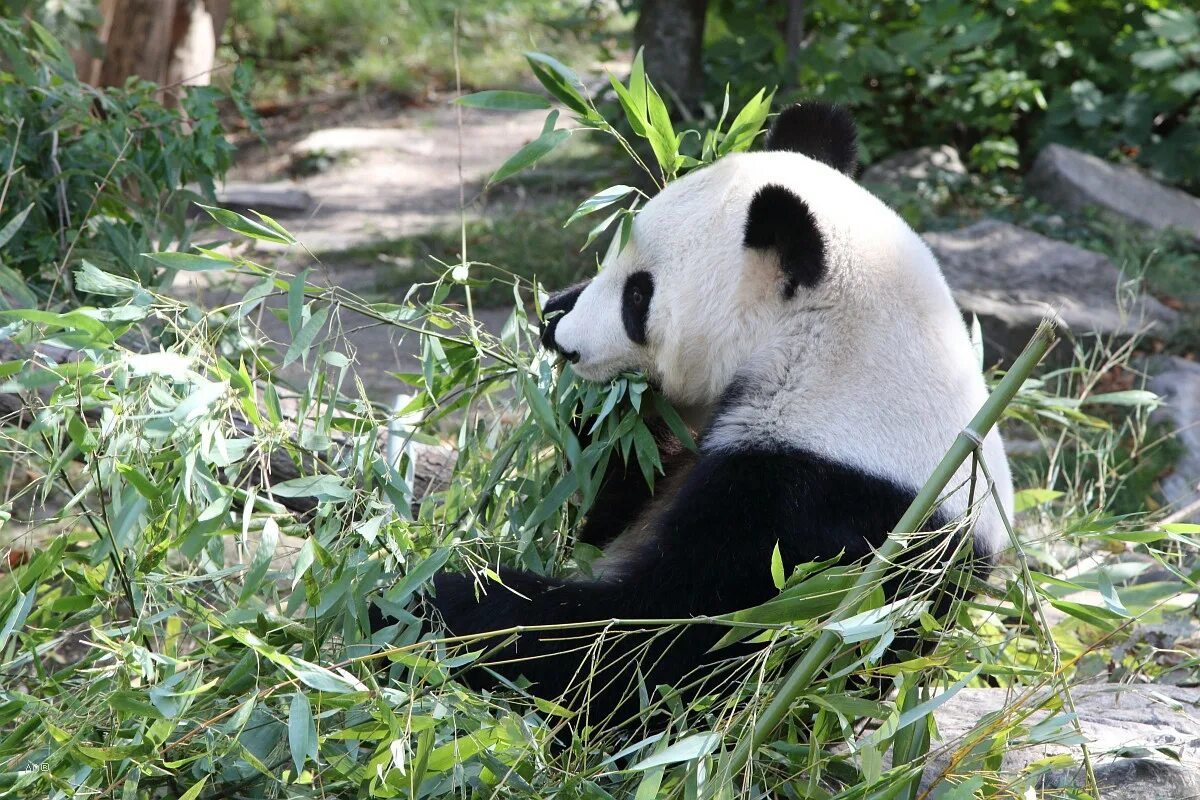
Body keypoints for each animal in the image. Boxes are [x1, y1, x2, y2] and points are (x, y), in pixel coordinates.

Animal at [422, 104, 1012, 734]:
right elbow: (606, 502)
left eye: (638, 295)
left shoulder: (828, 517)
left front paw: (438, 599)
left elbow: (660, 646)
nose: (554, 328)